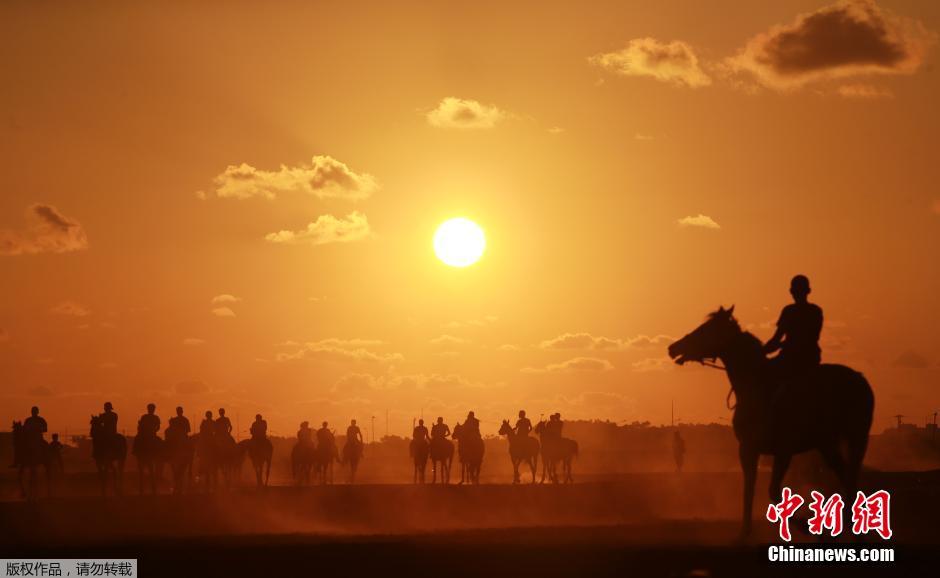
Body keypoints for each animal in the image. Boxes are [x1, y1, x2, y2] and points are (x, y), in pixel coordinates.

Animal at [668, 306, 872, 536]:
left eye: (705, 329)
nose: (673, 348)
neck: (756, 387)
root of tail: (861, 379)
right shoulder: (748, 449)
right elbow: (749, 489)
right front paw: (745, 531)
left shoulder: (783, 450)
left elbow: (773, 492)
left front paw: (806, 526)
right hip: (827, 444)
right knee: (846, 477)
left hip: (856, 437)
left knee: (851, 479)